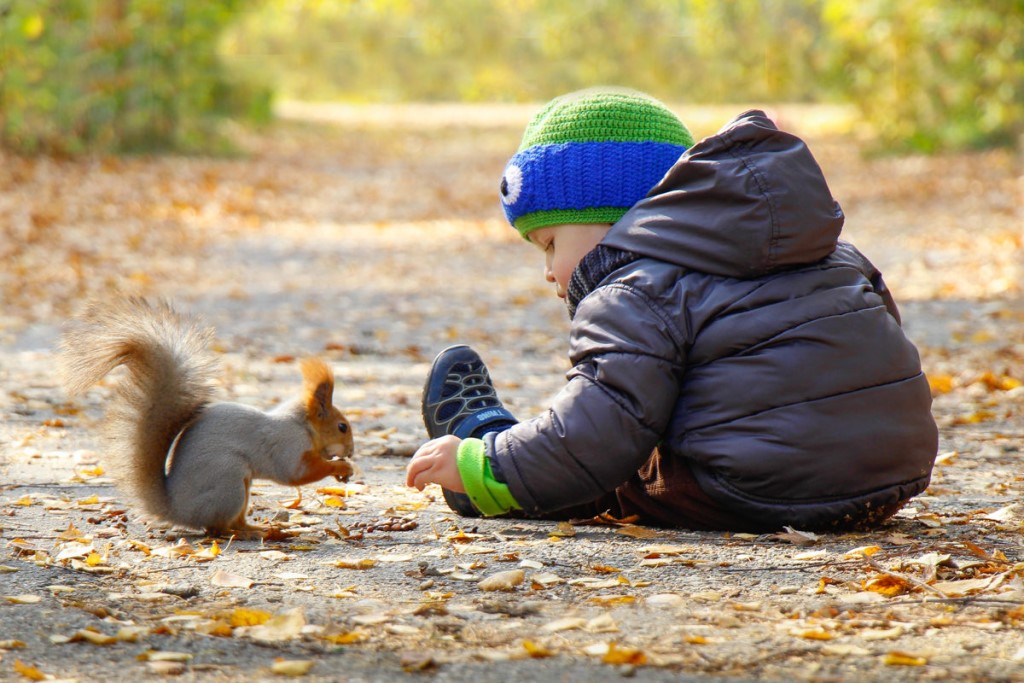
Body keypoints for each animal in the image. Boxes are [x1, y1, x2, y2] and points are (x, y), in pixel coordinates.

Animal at [60, 299, 356, 540]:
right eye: (342, 427)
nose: (352, 451)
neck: (302, 425)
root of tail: (178, 510)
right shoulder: (287, 444)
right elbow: (296, 473)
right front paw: (341, 467)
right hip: (229, 481)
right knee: (217, 529)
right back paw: (255, 534)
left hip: (241, 486)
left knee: (232, 524)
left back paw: (259, 528)